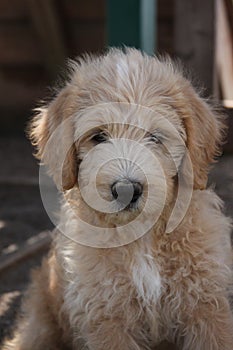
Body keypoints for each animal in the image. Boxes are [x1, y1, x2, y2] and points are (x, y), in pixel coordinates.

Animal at [3, 48, 233, 350]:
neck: (142, 236)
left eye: (155, 137)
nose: (126, 189)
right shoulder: (107, 316)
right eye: (99, 136)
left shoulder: (207, 306)